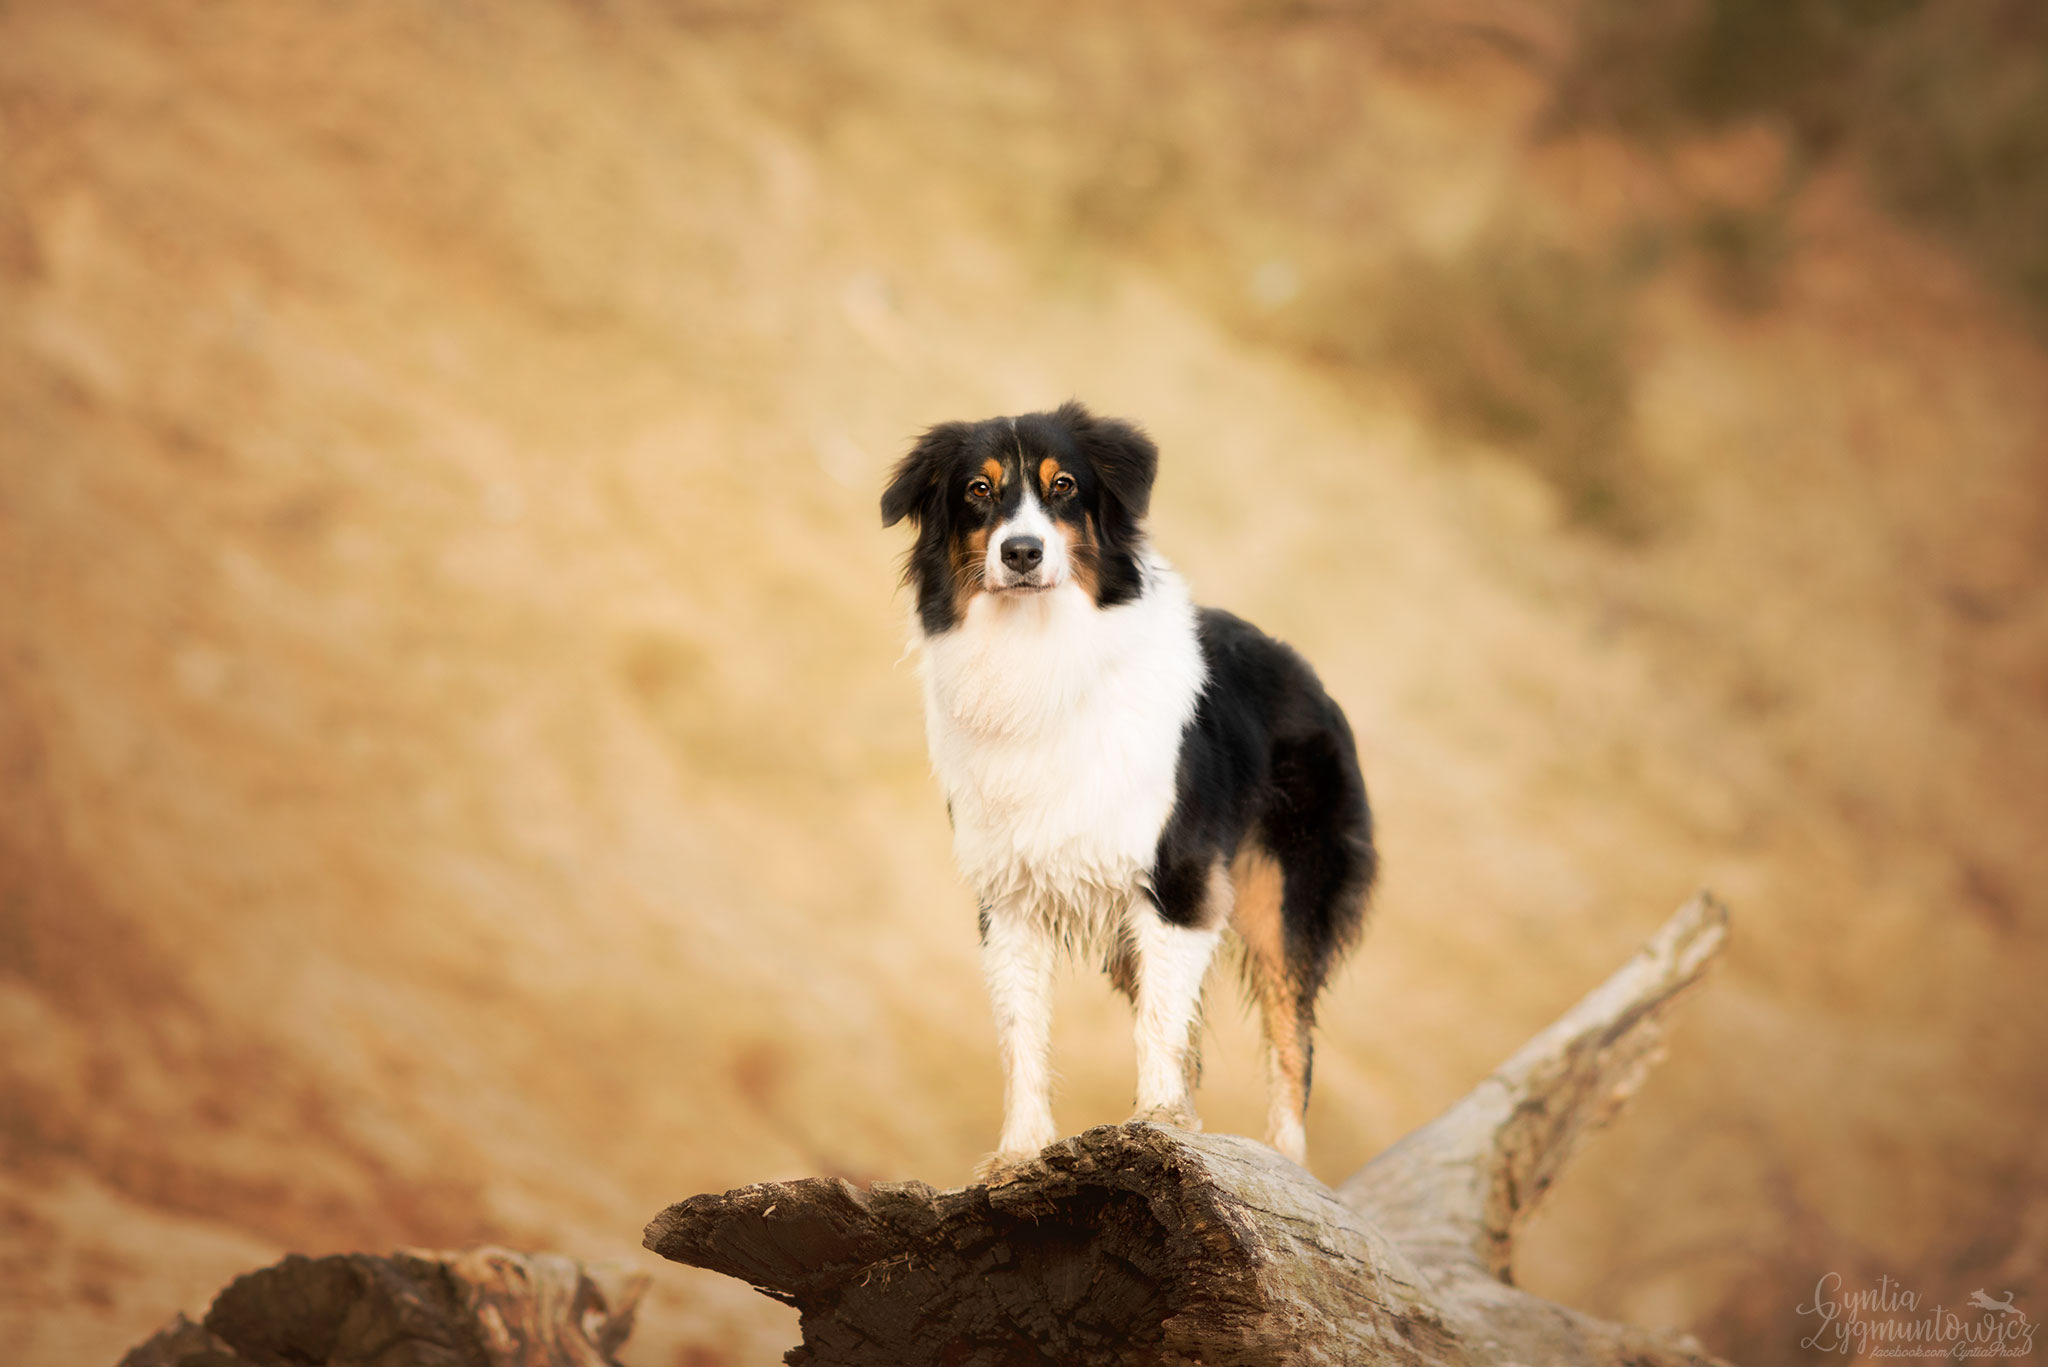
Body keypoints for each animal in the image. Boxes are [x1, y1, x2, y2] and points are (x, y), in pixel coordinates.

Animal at [880, 397, 1376, 1180]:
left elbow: (1161, 1029)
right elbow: (1022, 1032)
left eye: (1064, 487)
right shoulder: (1009, 892)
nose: (1022, 552)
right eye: (978, 491)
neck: (1038, 653)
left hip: (1281, 900)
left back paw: (1286, 1162)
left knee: (1291, 1040)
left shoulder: (1179, 881)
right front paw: (1021, 1151)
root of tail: (1312, 678)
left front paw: (1159, 1125)